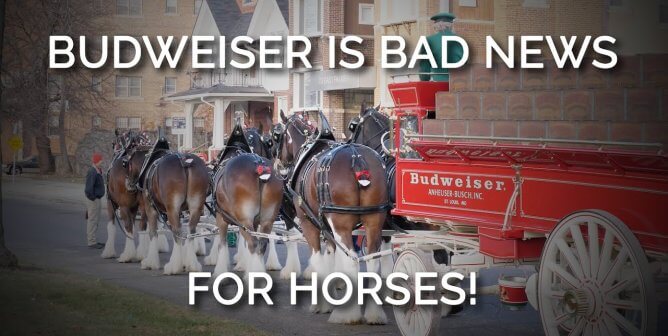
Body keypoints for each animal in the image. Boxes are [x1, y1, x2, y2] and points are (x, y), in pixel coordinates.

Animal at [124, 138, 209, 272]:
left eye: (126, 163)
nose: (128, 183)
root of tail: (184, 162)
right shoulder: (180, 211)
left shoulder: (150, 207)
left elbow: (153, 232)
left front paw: (151, 262)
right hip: (196, 206)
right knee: (190, 231)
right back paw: (191, 264)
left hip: (172, 208)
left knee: (177, 232)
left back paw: (174, 266)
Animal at [276, 111, 392, 326]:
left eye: (277, 135)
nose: (278, 164)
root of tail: (357, 159)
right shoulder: (327, 228)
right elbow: (331, 254)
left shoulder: (309, 223)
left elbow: (317, 257)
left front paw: (320, 304)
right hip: (374, 221)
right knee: (372, 260)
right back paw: (374, 314)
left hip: (341, 223)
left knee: (353, 259)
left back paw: (347, 315)